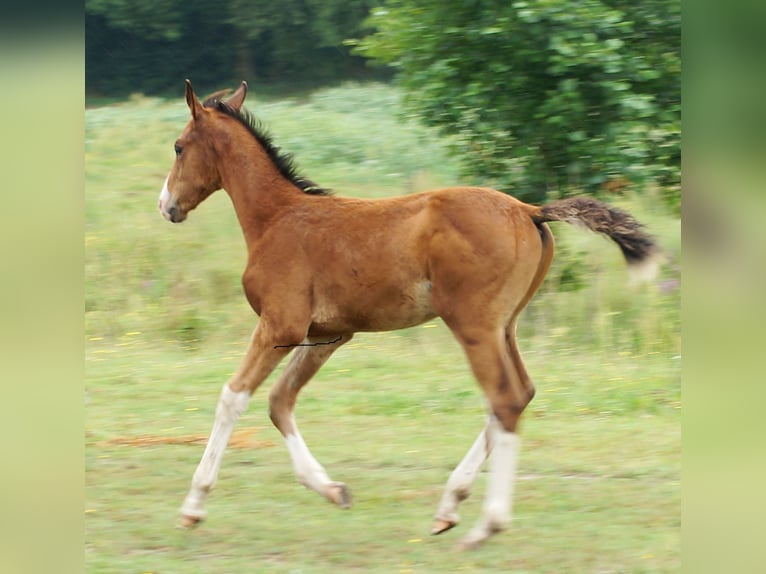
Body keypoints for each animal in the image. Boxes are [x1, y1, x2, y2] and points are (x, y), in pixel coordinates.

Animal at [158, 80, 660, 548]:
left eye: (179, 146)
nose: (167, 206)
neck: (276, 218)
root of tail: (529, 210)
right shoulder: (327, 335)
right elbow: (281, 401)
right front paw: (333, 489)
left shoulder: (280, 325)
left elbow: (233, 396)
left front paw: (193, 505)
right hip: (505, 326)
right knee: (520, 394)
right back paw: (450, 507)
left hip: (474, 325)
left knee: (504, 399)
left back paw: (486, 524)